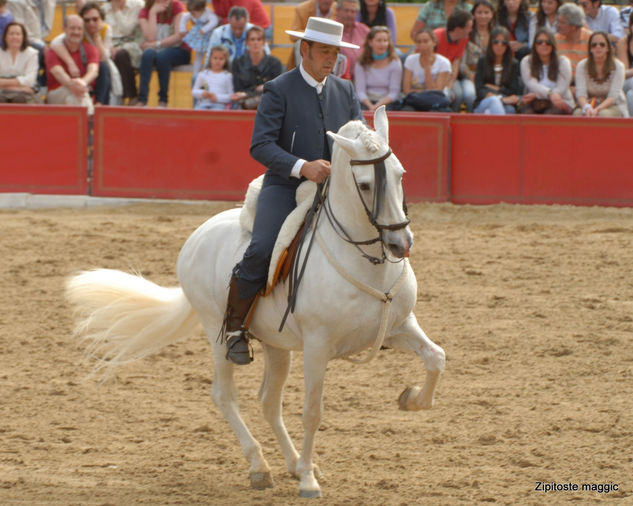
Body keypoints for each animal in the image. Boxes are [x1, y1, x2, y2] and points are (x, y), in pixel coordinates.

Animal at [66, 106, 444, 498]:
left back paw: (292, 463)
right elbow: (313, 411)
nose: (401, 243)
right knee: (224, 395)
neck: (366, 262)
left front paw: (411, 399)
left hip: (277, 345)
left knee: (268, 402)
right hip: (216, 331)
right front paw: (308, 482)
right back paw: (261, 467)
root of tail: (197, 237)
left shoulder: (399, 326)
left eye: (401, 174)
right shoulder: (317, 346)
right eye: (366, 185)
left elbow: (436, 358)